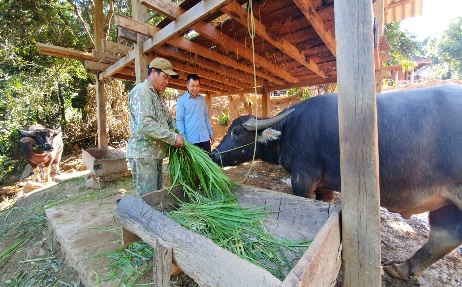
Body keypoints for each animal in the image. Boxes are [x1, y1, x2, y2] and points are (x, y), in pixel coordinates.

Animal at [211, 85, 462, 282]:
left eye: (236, 131)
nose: (213, 154)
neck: (289, 130)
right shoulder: (325, 186)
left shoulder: (303, 180)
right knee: (444, 235)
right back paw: (400, 269)